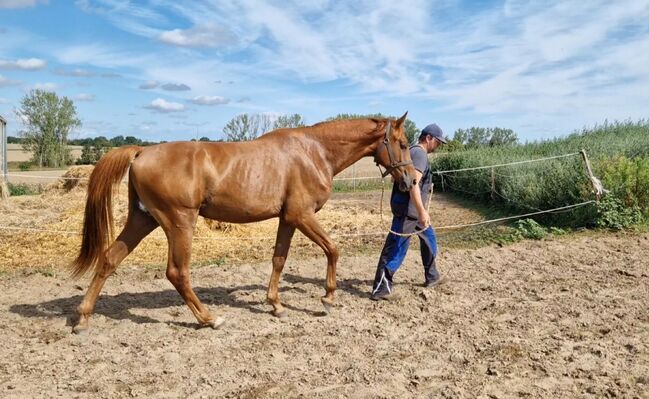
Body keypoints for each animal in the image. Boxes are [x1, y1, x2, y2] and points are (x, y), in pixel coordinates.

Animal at [69, 111, 416, 332]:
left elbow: (279, 259)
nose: (411, 180)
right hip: (179, 222)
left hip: (143, 220)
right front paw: (328, 298)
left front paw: (275, 304)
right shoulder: (302, 215)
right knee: (177, 272)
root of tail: (142, 152)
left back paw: (83, 319)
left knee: (109, 259)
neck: (313, 151)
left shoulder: (288, 218)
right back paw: (209, 319)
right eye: (401, 143)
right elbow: (333, 249)